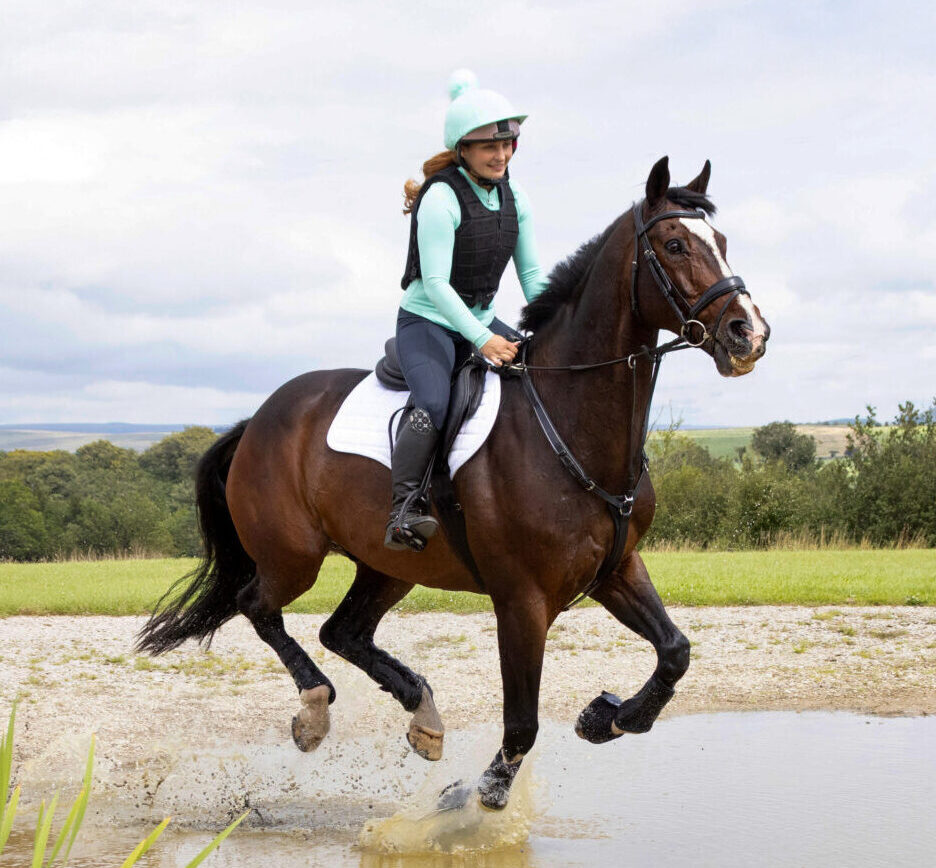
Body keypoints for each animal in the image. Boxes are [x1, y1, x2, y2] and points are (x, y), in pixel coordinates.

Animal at [136, 156, 770, 811]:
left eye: (721, 242)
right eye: (674, 245)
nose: (749, 334)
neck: (566, 420)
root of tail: (257, 420)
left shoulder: (616, 569)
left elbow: (675, 651)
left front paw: (609, 716)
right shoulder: (522, 601)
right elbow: (522, 721)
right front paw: (481, 794)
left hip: (388, 565)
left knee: (344, 631)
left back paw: (423, 716)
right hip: (294, 556)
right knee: (257, 606)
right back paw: (315, 711)